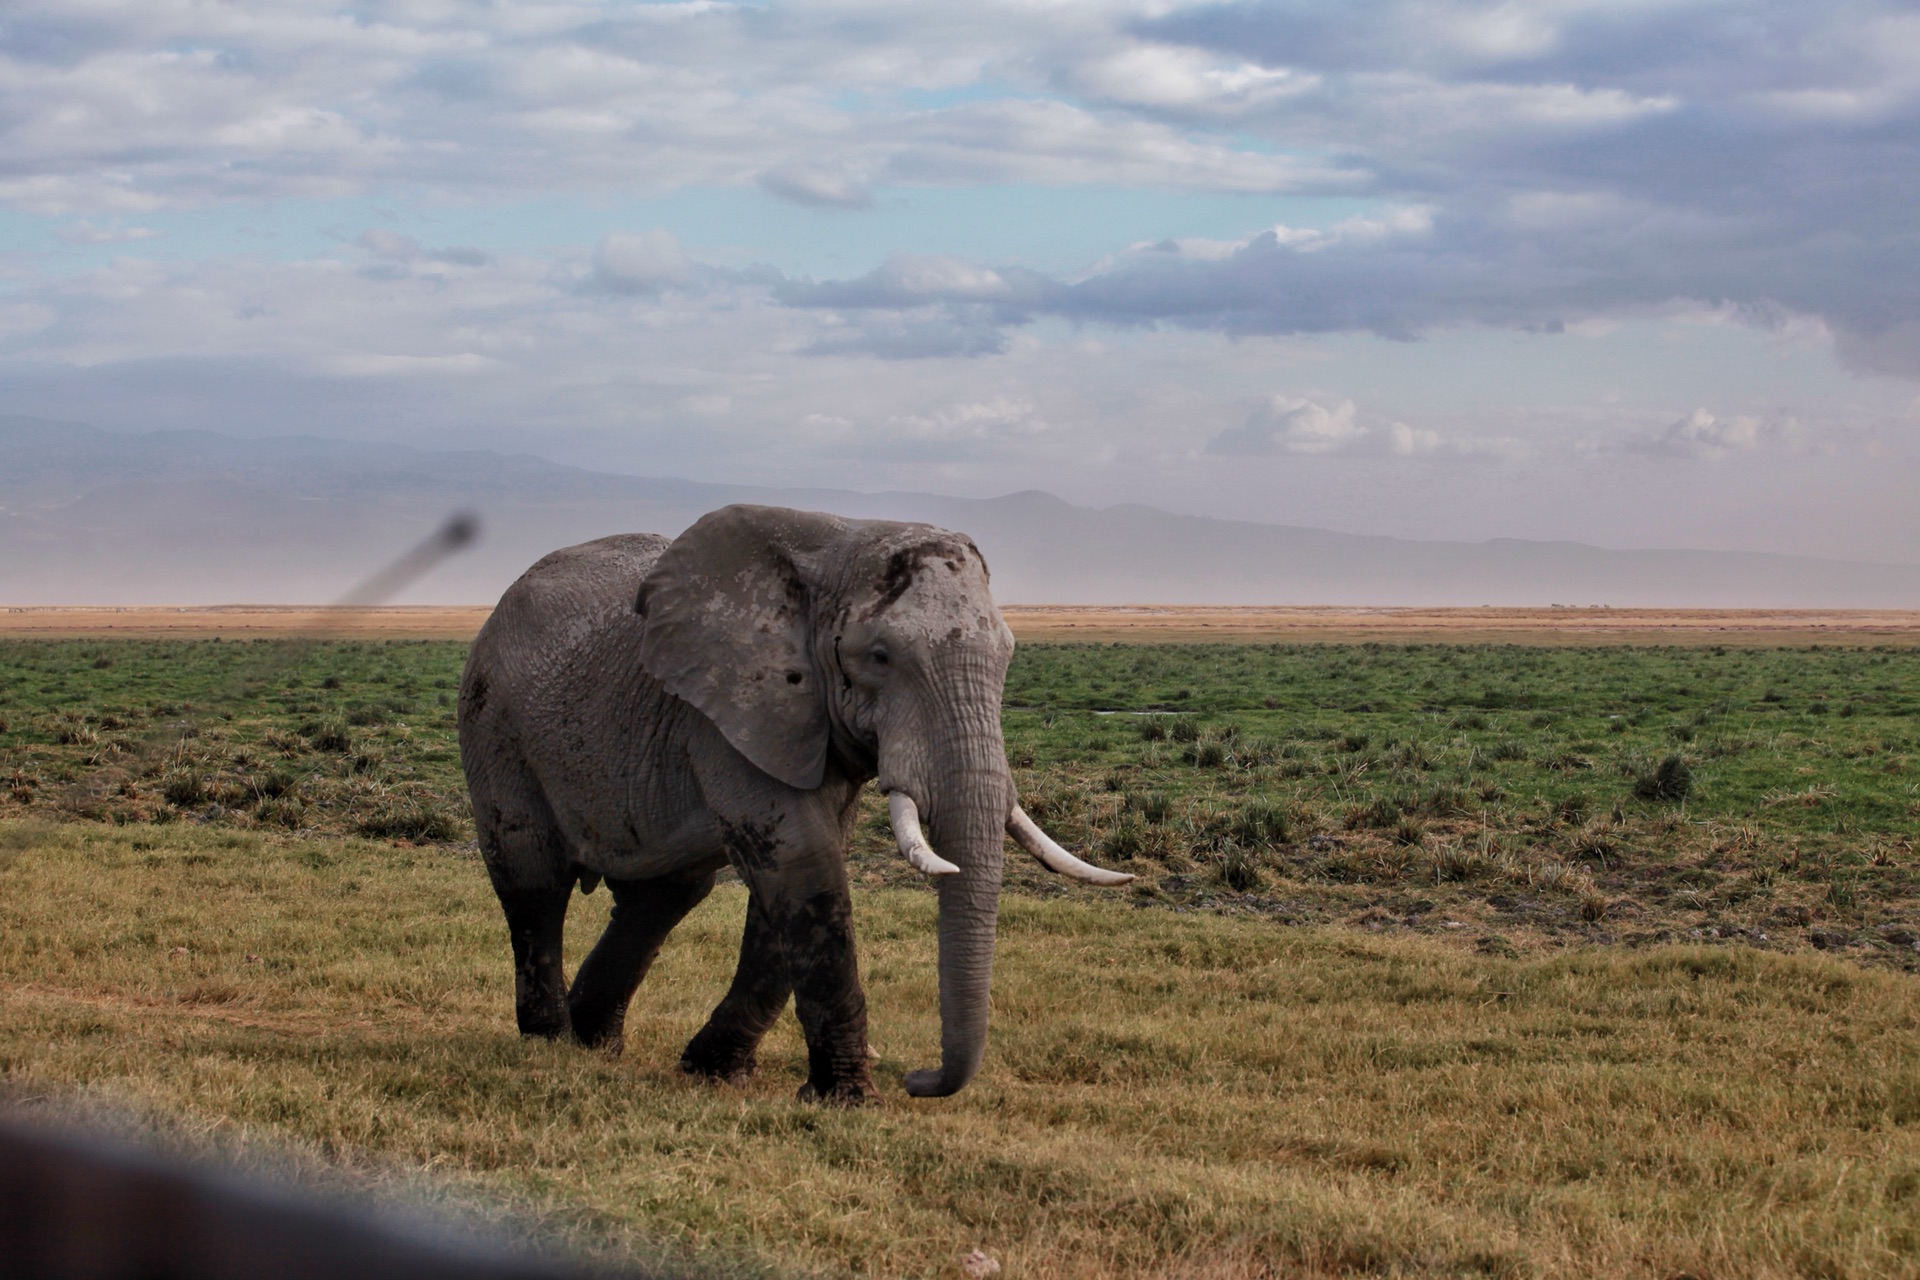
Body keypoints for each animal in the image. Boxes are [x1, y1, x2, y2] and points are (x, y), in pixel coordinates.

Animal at [456, 506, 1128, 1105]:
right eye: (879, 657)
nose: (917, 1079)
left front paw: (713, 1072)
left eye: (1009, 656)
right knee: (533, 881)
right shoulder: (731, 710)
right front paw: (849, 1102)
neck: (837, 551)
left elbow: (798, 870)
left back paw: (593, 1043)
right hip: (494, 724)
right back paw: (549, 1043)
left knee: (663, 896)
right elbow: (803, 861)